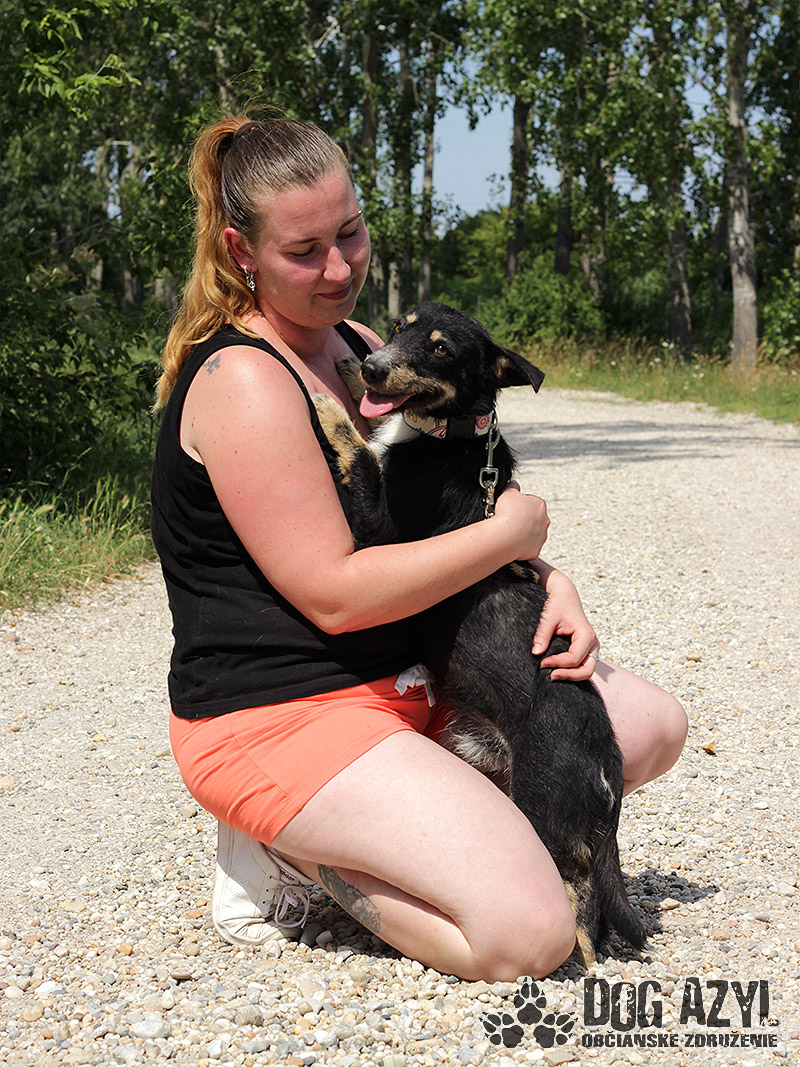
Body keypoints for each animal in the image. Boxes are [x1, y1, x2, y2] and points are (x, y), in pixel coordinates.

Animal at [314, 302, 646, 964]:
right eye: (400, 327)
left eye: (441, 349)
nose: (372, 364)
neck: (449, 438)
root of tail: (607, 776)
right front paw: (344, 373)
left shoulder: (383, 536)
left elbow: (358, 452)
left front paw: (326, 402)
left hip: (546, 817)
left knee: (578, 895)